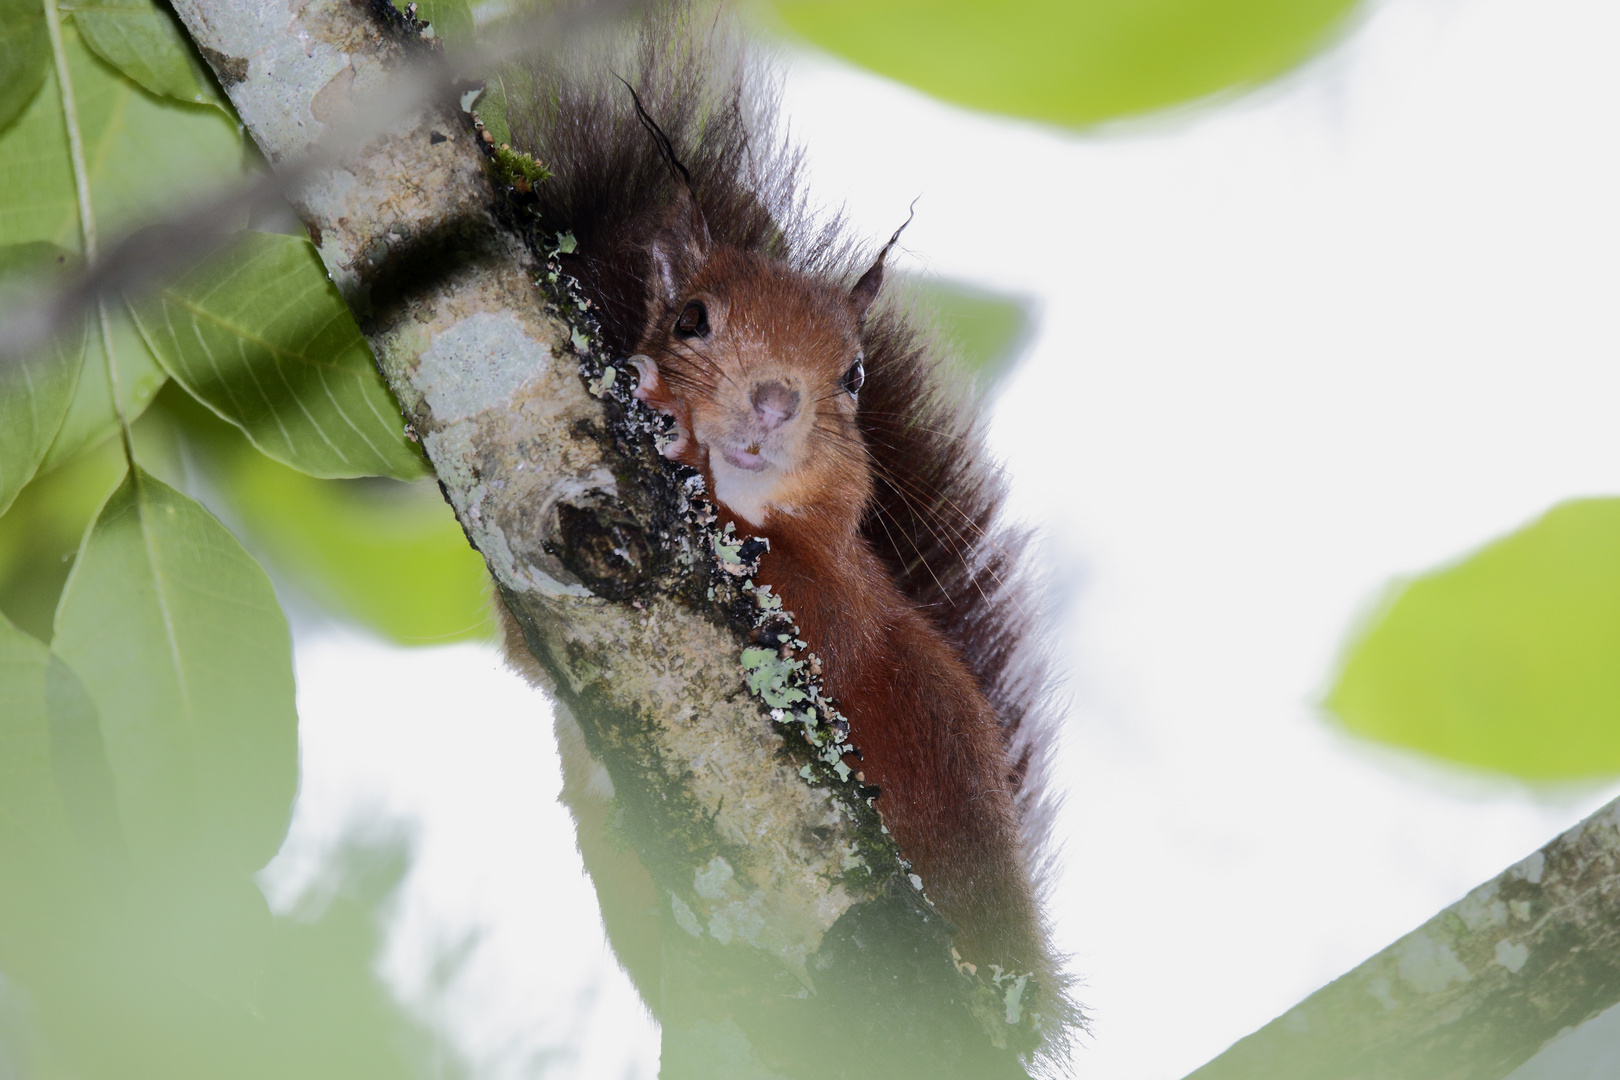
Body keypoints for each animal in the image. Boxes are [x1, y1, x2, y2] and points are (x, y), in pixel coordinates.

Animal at [498, 0, 1069, 1029]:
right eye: (689, 319)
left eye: (854, 375)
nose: (772, 401)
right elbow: (525, 640)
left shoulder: (847, 592)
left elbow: (811, 613)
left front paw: (675, 433)